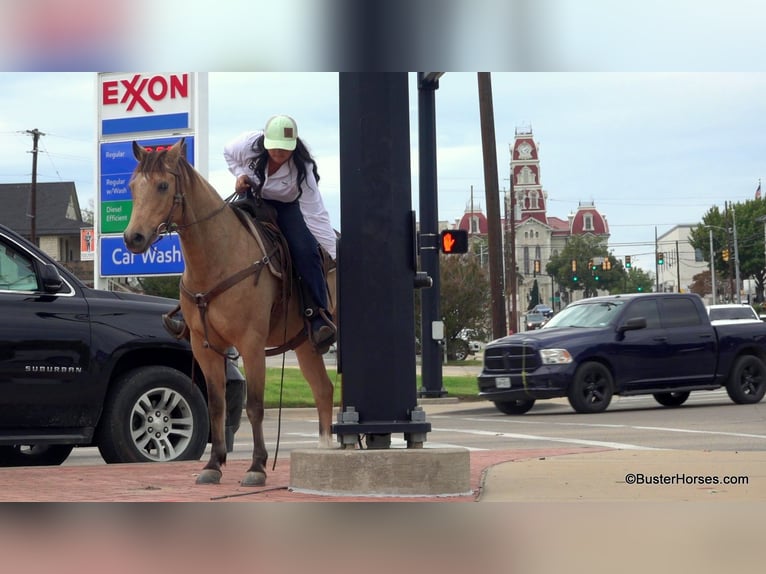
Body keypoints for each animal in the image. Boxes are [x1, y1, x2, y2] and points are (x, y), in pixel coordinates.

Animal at [124, 138, 336, 486]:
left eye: (163, 185)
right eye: (131, 187)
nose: (133, 238)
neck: (217, 257)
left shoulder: (251, 344)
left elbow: (255, 406)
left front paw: (257, 467)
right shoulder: (205, 347)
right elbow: (216, 406)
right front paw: (213, 465)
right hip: (305, 345)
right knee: (323, 389)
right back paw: (324, 450)